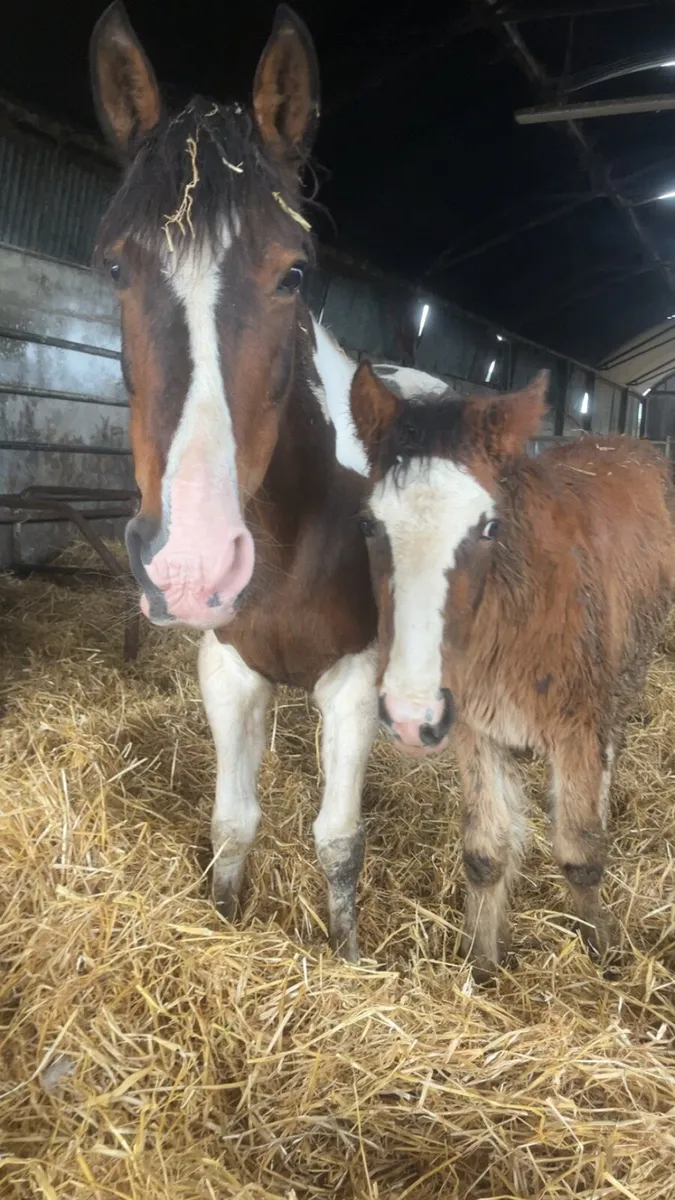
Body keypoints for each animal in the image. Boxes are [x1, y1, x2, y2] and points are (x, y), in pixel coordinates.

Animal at [90, 2, 448, 960]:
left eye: (292, 272)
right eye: (114, 267)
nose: (190, 566)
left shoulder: (354, 680)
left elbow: (337, 838)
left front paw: (349, 956)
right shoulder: (229, 668)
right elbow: (233, 822)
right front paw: (223, 914)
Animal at [347, 361, 675, 976]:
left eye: (489, 528)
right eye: (370, 526)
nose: (408, 717)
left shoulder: (576, 730)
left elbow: (580, 853)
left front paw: (605, 957)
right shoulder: (476, 728)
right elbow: (485, 851)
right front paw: (480, 967)